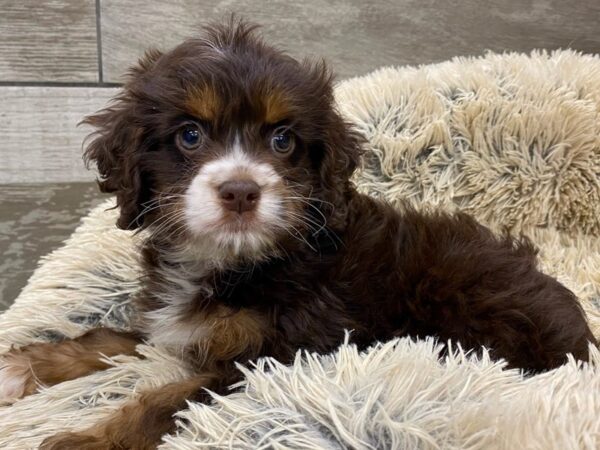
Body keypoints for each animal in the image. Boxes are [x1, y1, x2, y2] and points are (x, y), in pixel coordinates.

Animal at [0, 20, 596, 450]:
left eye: (283, 140)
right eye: (189, 135)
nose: (241, 192)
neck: (236, 261)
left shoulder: (271, 358)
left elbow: (165, 401)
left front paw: (86, 441)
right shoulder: (175, 329)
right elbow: (109, 339)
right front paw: (19, 366)